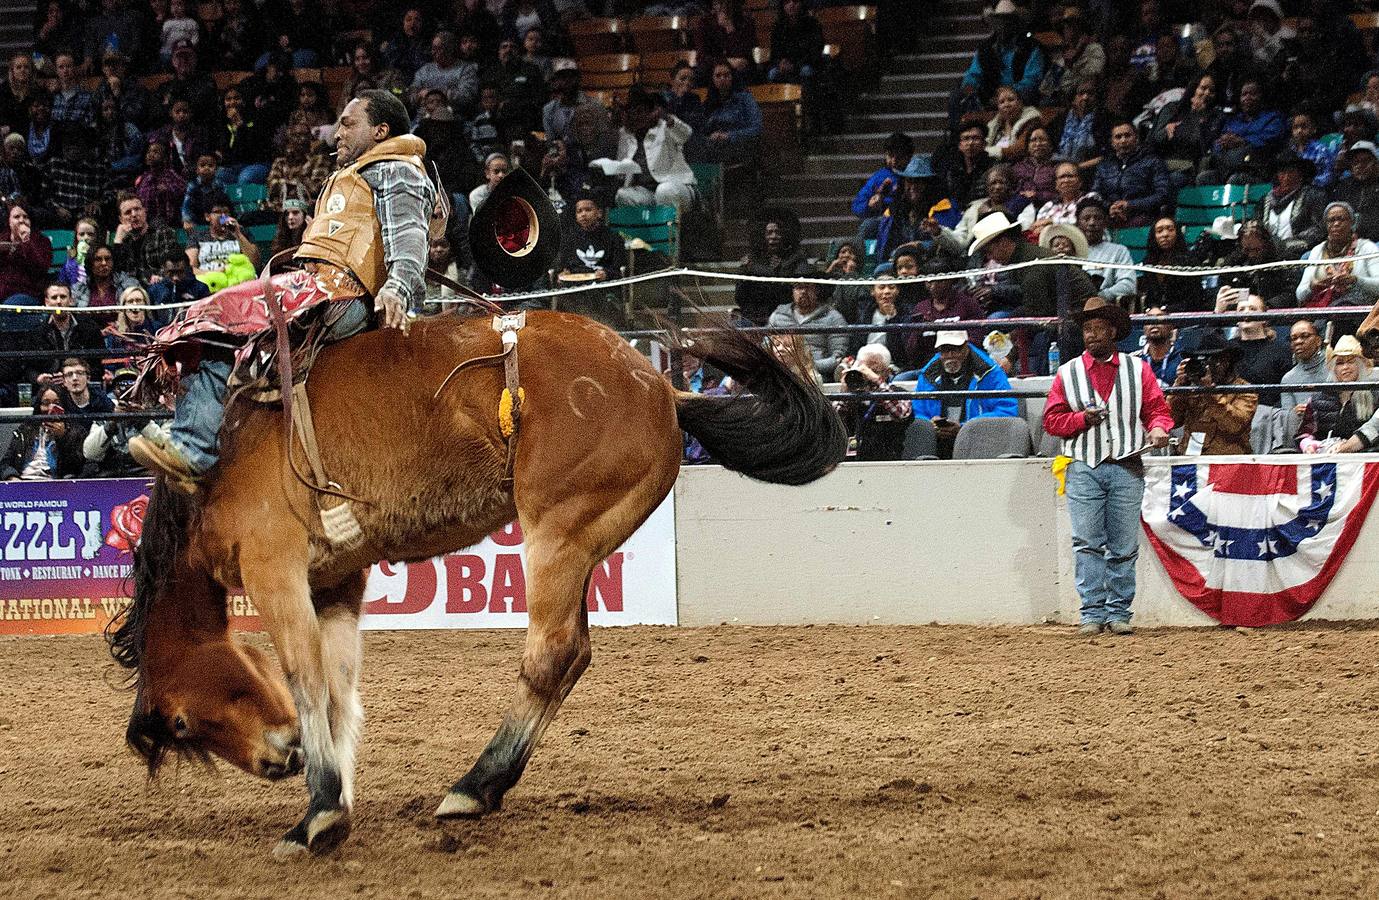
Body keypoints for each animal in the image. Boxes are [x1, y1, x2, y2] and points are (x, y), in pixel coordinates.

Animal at [107, 308, 843, 854]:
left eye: (180, 719)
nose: (274, 762)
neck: (213, 473)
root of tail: (660, 386)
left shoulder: (274, 570)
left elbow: (308, 681)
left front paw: (317, 816)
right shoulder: (336, 580)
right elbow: (341, 693)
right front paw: (336, 795)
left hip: (557, 533)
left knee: (551, 655)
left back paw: (473, 786)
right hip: (581, 542)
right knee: (571, 655)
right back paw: (484, 785)